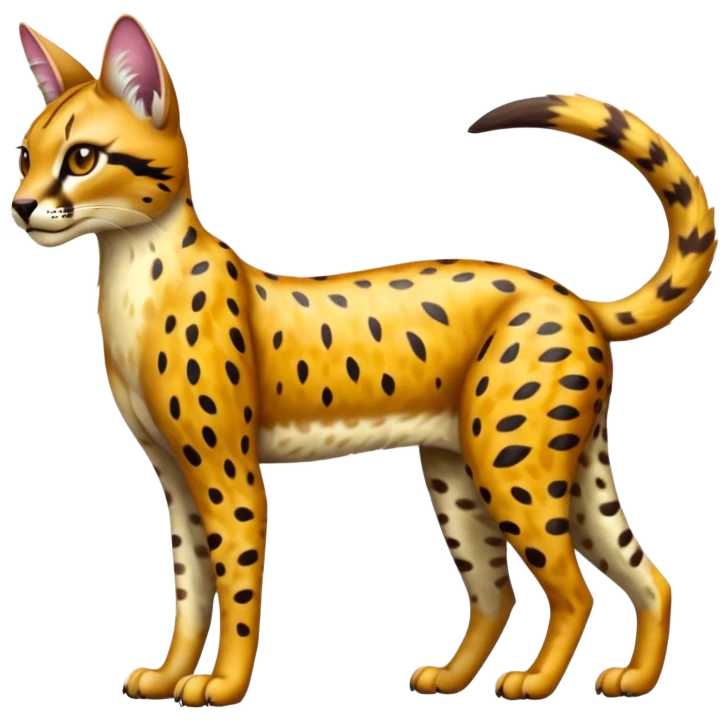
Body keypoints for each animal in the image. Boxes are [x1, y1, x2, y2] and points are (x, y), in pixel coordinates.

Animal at [12, 14, 716, 706]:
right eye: (25, 156)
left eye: (81, 158)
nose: (20, 206)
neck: (135, 274)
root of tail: (570, 295)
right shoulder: (175, 477)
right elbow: (189, 590)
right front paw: (167, 676)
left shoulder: (227, 473)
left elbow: (236, 588)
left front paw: (224, 685)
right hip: (484, 471)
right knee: (601, 581)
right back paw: (566, 679)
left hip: (512, 464)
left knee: (573, 589)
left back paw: (536, 682)